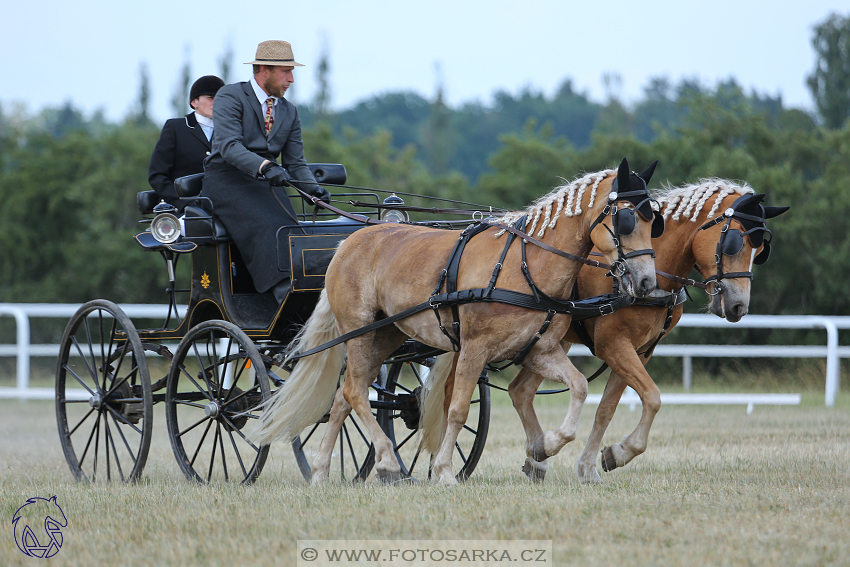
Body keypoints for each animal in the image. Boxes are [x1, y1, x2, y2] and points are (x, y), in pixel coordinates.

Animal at [248, 159, 660, 484]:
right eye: (626, 218)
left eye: (653, 221)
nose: (646, 282)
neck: (524, 265)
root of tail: (347, 243)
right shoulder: (475, 348)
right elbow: (458, 409)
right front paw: (445, 470)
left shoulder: (538, 349)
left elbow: (578, 386)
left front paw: (545, 446)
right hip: (358, 333)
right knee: (353, 393)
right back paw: (387, 461)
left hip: (385, 335)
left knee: (343, 397)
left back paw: (322, 471)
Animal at [420, 181, 784, 484]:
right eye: (735, 242)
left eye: (760, 251)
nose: (738, 307)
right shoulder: (614, 345)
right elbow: (653, 397)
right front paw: (617, 453)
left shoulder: (640, 350)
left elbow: (608, 408)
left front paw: (592, 465)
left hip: (547, 341)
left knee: (519, 390)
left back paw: (537, 456)